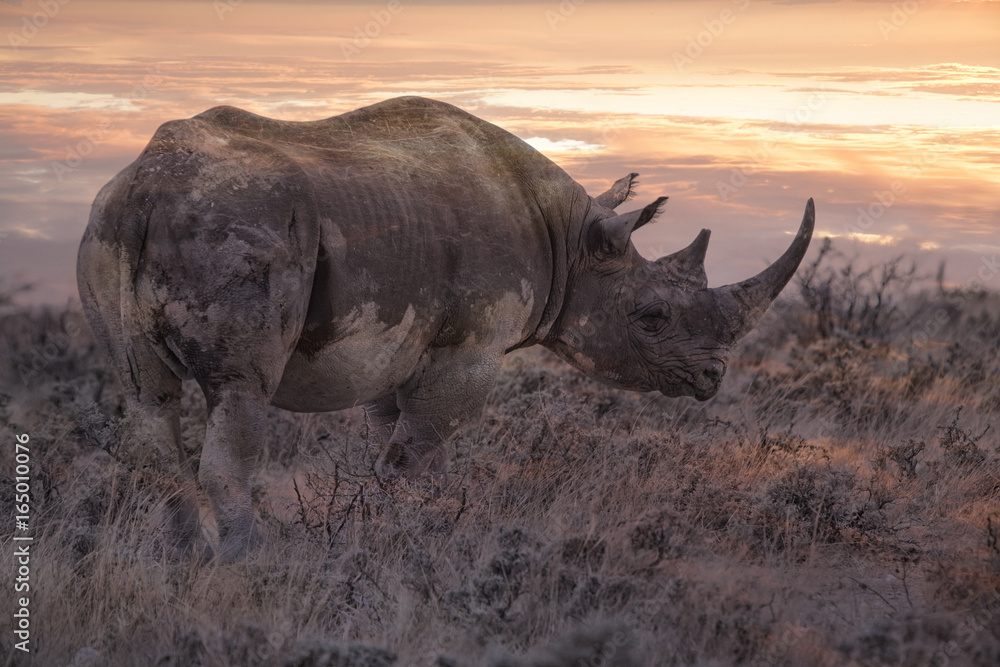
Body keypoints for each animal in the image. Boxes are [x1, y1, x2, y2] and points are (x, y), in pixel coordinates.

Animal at [77, 96, 814, 562]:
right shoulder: (471, 350)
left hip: (108, 222)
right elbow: (416, 457)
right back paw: (248, 565)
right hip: (239, 228)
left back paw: (182, 561)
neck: (573, 244)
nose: (712, 377)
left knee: (146, 396)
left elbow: (392, 444)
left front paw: (389, 528)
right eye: (653, 318)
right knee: (240, 389)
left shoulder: (395, 346)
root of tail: (145, 188)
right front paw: (408, 539)